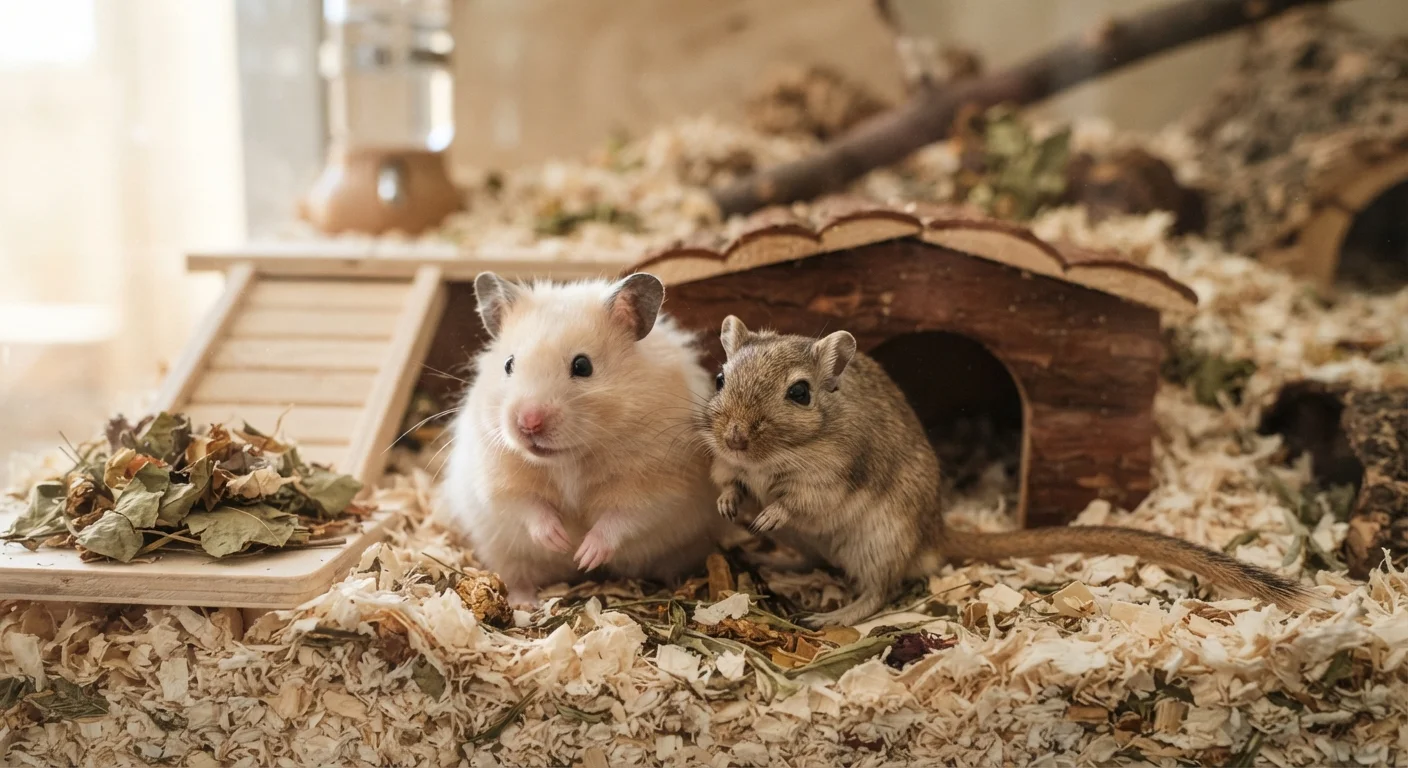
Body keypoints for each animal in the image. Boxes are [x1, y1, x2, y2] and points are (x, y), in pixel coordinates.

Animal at [442, 271, 723, 608]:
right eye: (508, 364)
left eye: (582, 366)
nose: (527, 423)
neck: (569, 458)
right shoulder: (497, 479)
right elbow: (526, 506)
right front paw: (560, 541)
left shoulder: (660, 485)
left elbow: (625, 518)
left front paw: (584, 555)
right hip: (505, 553)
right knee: (518, 576)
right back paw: (524, 602)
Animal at [702, 316, 1329, 627]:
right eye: (720, 379)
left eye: (800, 394)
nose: (733, 436)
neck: (769, 460)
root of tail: (936, 532)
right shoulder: (726, 463)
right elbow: (726, 479)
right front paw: (731, 507)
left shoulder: (830, 477)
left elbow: (799, 499)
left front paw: (768, 512)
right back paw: (769, 556)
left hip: (880, 539)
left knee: (881, 591)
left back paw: (827, 617)